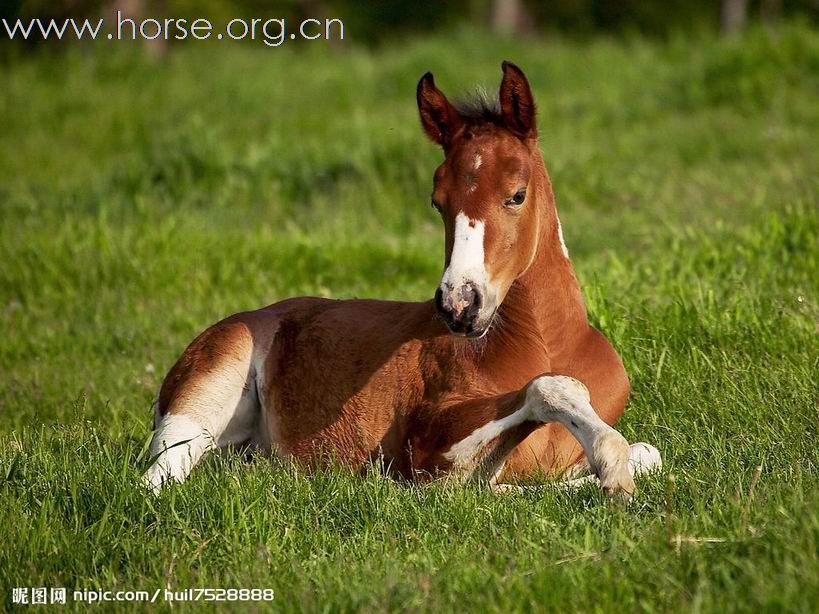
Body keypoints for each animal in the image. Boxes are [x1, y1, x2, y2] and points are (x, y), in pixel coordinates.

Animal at [144, 61, 664, 496]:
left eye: (517, 194)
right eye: (438, 202)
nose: (459, 304)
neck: (548, 343)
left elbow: (649, 454)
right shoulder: (426, 446)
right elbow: (544, 396)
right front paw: (609, 467)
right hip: (202, 397)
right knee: (157, 479)